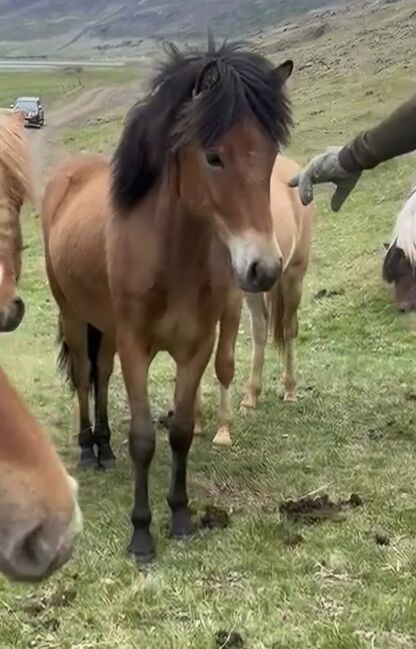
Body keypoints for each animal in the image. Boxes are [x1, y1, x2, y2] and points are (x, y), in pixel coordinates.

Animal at [42, 38, 294, 560]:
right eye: (214, 157)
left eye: (270, 154)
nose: (264, 268)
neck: (171, 256)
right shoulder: (137, 346)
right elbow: (143, 438)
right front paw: (141, 534)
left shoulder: (195, 347)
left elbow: (179, 432)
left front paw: (180, 516)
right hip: (73, 316)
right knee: (84, 375)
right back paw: (87, 448)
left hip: (106, 328)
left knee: (101, 375)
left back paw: (104, 446)